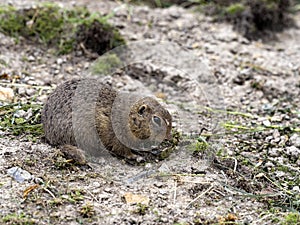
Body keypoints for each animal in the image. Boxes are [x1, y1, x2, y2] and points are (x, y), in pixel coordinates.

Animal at [42, 78, 173, 163]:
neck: (129, 118)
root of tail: (53, 137)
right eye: (156, 119)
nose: (168, 137)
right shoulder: (117, 137)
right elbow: (123, 151)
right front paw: (136, 157)